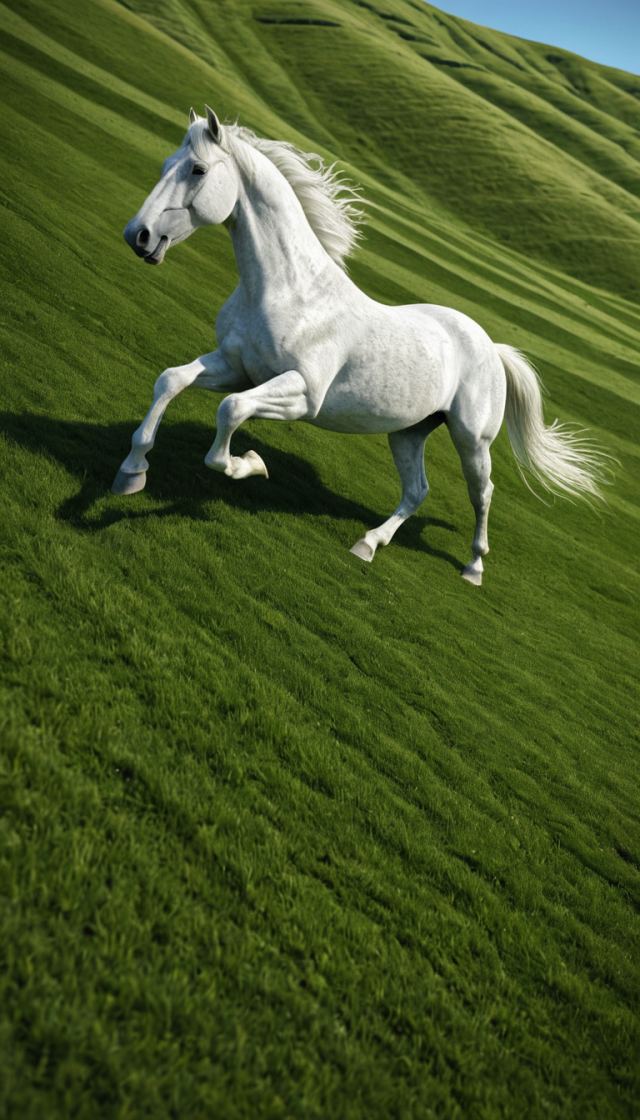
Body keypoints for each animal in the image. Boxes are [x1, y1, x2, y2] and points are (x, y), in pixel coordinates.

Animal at [113, 106, 608, 585]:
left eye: (197, 169)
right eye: (167, 164)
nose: (138, 235)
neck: (292, 292)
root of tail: (491, 346)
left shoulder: (301, 394)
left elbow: (230, 412)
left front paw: (250, 463)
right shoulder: (236, 368)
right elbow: (171, 381)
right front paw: (132, 472)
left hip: (472, 440)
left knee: (482, 493)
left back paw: (473, 568)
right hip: (409, 430)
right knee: (417, 490)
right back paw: (368, 544)